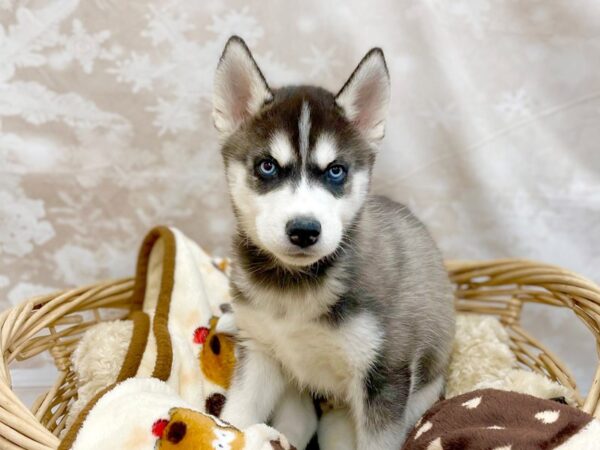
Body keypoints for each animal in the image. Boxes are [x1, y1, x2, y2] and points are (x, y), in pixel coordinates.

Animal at [216, 36, 454, 450]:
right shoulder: (260, 352)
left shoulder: (384, 373)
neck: (293, 289)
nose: (304, 230)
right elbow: (237, 415)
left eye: (336, 171)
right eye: (267, 166)